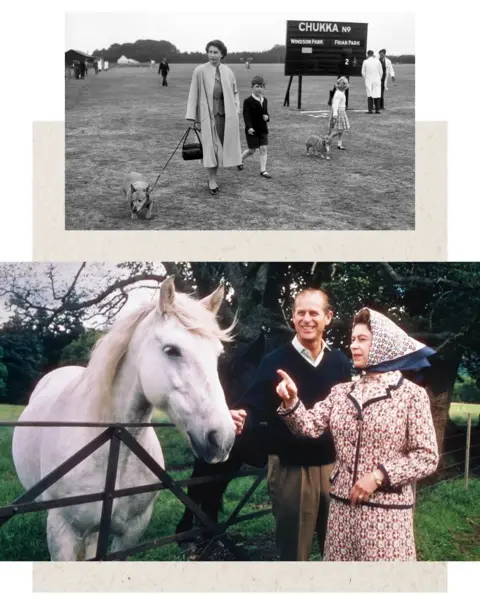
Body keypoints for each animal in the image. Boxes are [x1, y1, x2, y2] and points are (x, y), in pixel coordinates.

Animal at [10, 278, 235, 560]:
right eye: (172, 350)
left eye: (217, 354)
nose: (223, 438)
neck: (113, 447)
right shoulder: (62, 532)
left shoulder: (131, 532)